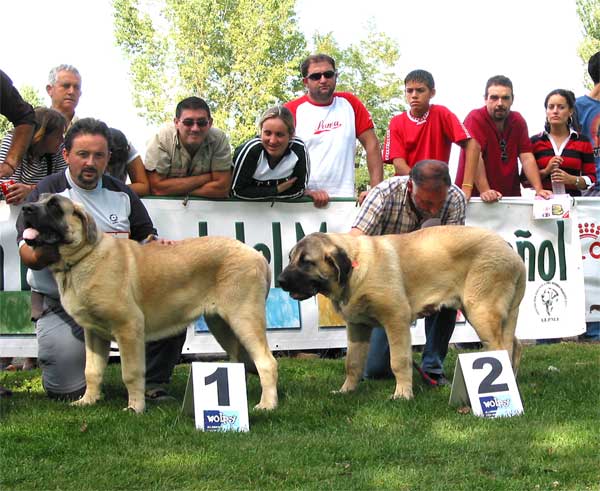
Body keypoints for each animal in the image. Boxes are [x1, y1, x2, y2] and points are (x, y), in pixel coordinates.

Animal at [19, 194, 278, 414]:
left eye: (54, 205)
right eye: (39, 199)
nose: (26, 208)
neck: (82, 258)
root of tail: (257, 255)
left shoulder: (128, 327)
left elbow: (131, 372)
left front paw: (135, 407)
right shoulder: (93, 333)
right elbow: (91, 370)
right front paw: (88, 400)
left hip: (244, 318)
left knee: (267, 362)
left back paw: (266, 404)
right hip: (221, 324)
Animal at [278, 229, 524, 402]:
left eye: (306, 262)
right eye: (290, 258)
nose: (279, 280)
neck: (355, 271)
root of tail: (509, 249)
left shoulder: (396, 320)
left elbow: (398, 361)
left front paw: (403, 394)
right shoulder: (357, 327)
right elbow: (353, 363)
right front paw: (346, 391)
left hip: (480, 310)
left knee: (500, 348)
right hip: (498, 314)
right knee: (514, 344)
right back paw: (512, 379)